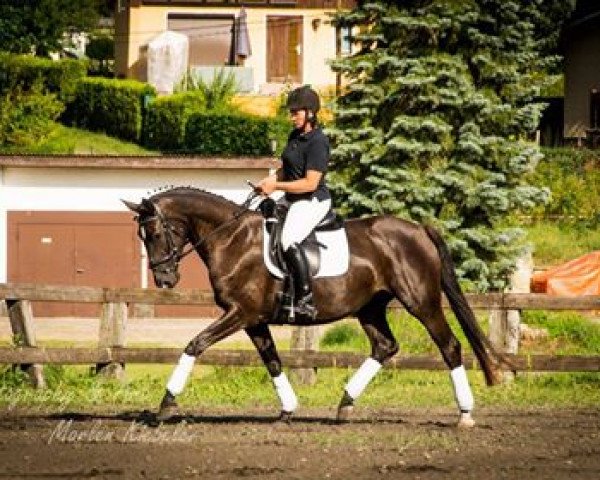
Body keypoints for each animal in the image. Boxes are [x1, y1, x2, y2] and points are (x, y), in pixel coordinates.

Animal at [123, 187, 506, 428]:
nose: (165, 280)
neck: (232, 240)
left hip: (421, 302)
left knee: (449, 345)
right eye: (142, 237)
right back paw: (345, 404)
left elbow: (195, 344)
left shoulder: (241, 313)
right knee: (385, 346)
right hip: (369, 308)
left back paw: (465, 413)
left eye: (155, 234)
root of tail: (420, 230)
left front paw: (166, 405)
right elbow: (272, 360)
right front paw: (287, 410)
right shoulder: (253, 320)